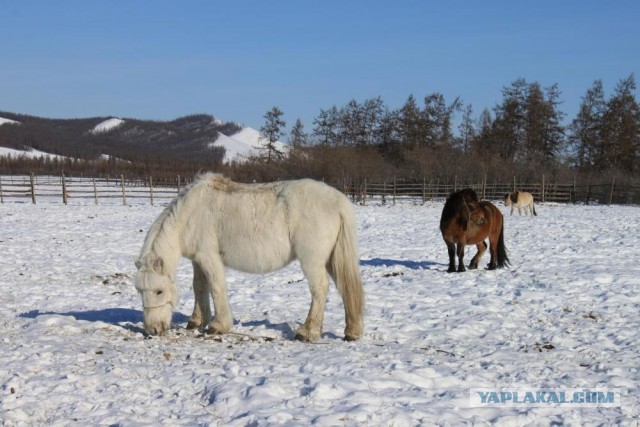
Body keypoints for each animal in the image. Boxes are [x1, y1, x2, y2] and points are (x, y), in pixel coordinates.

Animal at [134, 172, 364, 342]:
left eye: (159, 291)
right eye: (139, 291)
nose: (152, 330)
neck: (190, 215)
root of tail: (338, 200)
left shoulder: (209, 258)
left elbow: (216, 287)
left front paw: (218, 325)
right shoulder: (197, 260)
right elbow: (199, 287)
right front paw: (197, 321)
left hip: (312, 260)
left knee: (320, 289)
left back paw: (307, 332)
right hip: (331, 260)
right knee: (344, 288)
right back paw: (351, 332)